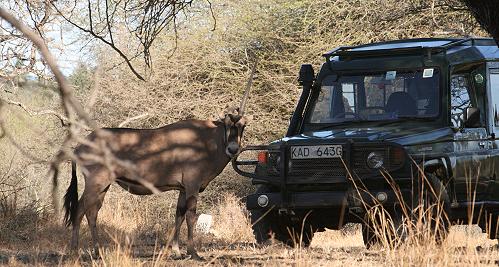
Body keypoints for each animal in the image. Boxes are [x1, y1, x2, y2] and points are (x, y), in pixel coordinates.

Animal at [62, 67, 256, 262]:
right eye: (227, 124)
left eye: (243, 125)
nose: (233, 149)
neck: (207, 138)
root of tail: (79, 146)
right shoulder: (192, 186)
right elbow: (190, 216)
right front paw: (193, 252)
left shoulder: (183, 189)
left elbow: (179, 215)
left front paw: (176, 251)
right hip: (96, 183)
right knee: (80, 210)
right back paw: (76, 251)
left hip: (103, 186)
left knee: (92, 212)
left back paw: (96, 251)